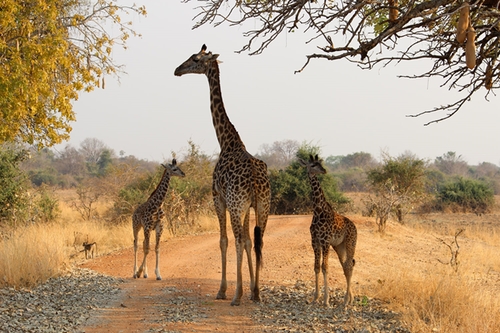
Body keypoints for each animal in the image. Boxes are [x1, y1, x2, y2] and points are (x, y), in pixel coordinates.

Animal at [175, 44, 272, 306]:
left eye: (195, 59)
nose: (177, 69)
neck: (226, 141)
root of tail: (255, 180)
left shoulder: (218, 198)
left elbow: (224, 241)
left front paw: (224, 290)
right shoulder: (247, 205)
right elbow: (249, 241)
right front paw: (253, 290)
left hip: (237, 204)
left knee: (237, 240)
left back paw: (236, 296)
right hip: (263, 206)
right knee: (257, 240)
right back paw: (256, 293)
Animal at [298, 154, 358, 304]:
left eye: (320, 164)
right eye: (313, 165)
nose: (324, 170)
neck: (318, 211)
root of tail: (354, 227)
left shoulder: (325, 241)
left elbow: (325, 267)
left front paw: (326, 301)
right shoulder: (315, 242)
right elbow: (316, 267)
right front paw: (315, 298)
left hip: (350, 243)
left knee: (349, 265)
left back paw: (346, 302)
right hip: (339, 246)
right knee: (346, 265)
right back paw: (349, 299)